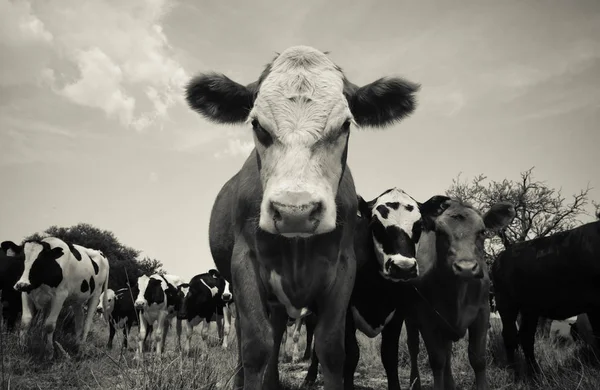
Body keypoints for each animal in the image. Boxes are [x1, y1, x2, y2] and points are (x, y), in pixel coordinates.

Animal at [304, 187, 422, 388]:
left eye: (419, 226)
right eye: (375, 226)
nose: (404, 267)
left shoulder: (397, 314)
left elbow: (389, 356)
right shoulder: (345, 313)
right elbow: (351, 355)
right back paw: (310, 377)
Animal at [404, 198, 516, 390]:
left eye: (482, 231)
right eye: (440, 232)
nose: (466, 268)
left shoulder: (482, 312)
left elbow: (477, 359)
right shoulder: (426, 318)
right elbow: (437, 360)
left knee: (447, 350)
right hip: (408, 316)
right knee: (414, 347)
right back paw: (415, 382)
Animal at [492, 221, 600, 380]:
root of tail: (500, 257)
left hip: (529, 309)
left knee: (526, 337)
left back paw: (535, 374)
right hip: (506, 304)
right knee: (510, 336)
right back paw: (514, 373)